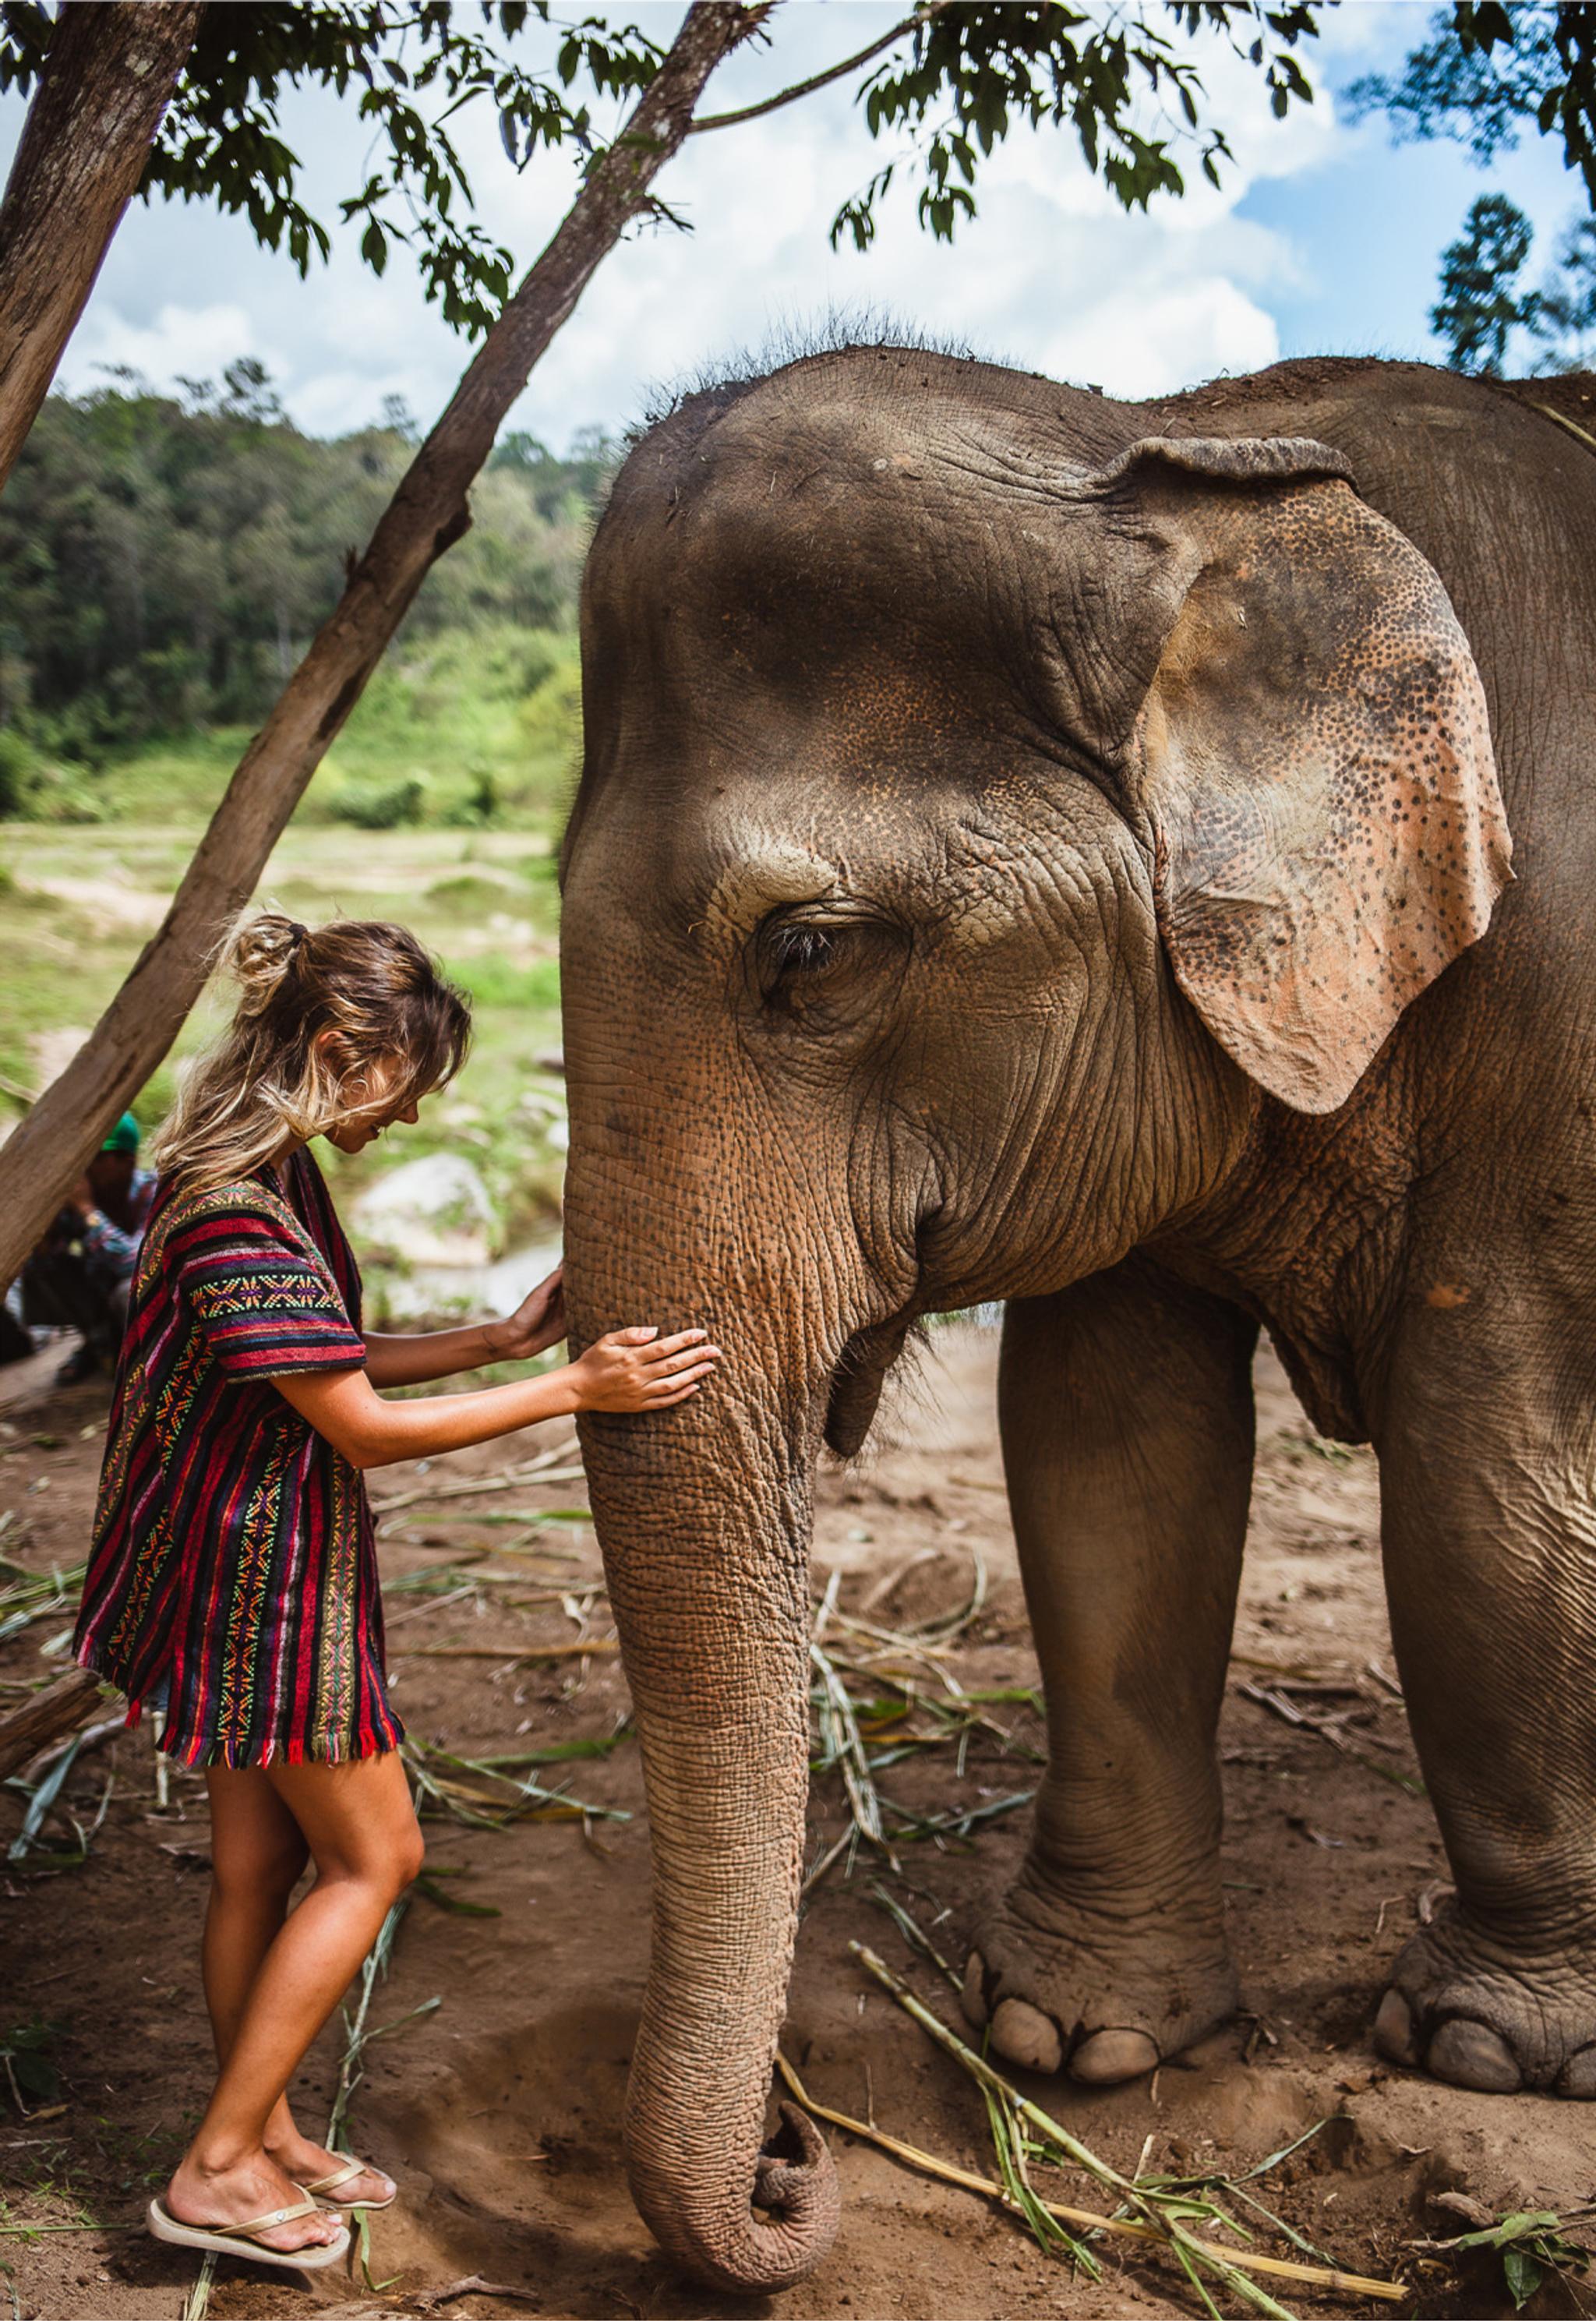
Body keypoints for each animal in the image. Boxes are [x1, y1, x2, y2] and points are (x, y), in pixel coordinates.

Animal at [556, 341, 1596, 2294]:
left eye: (807, 952)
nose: (794, 2157)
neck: (1168, 445)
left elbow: (1493, 1467)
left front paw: (1498, 2049)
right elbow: (1107, 1451)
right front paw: (1076, 2042)